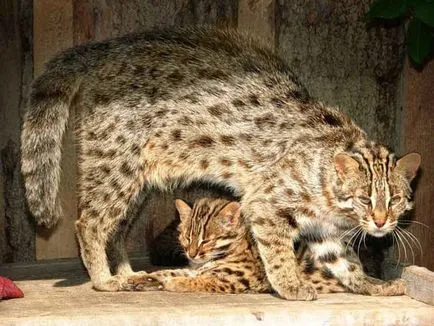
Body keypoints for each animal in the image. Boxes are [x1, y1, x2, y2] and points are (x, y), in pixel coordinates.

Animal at [144, 197, 354, 294]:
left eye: (207, 241)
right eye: (187, 238)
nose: (191, 254)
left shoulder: (234, 280)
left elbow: (199, 281)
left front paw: (175, 283)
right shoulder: (196, 268)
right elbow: (169, 272)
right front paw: (143, 277)